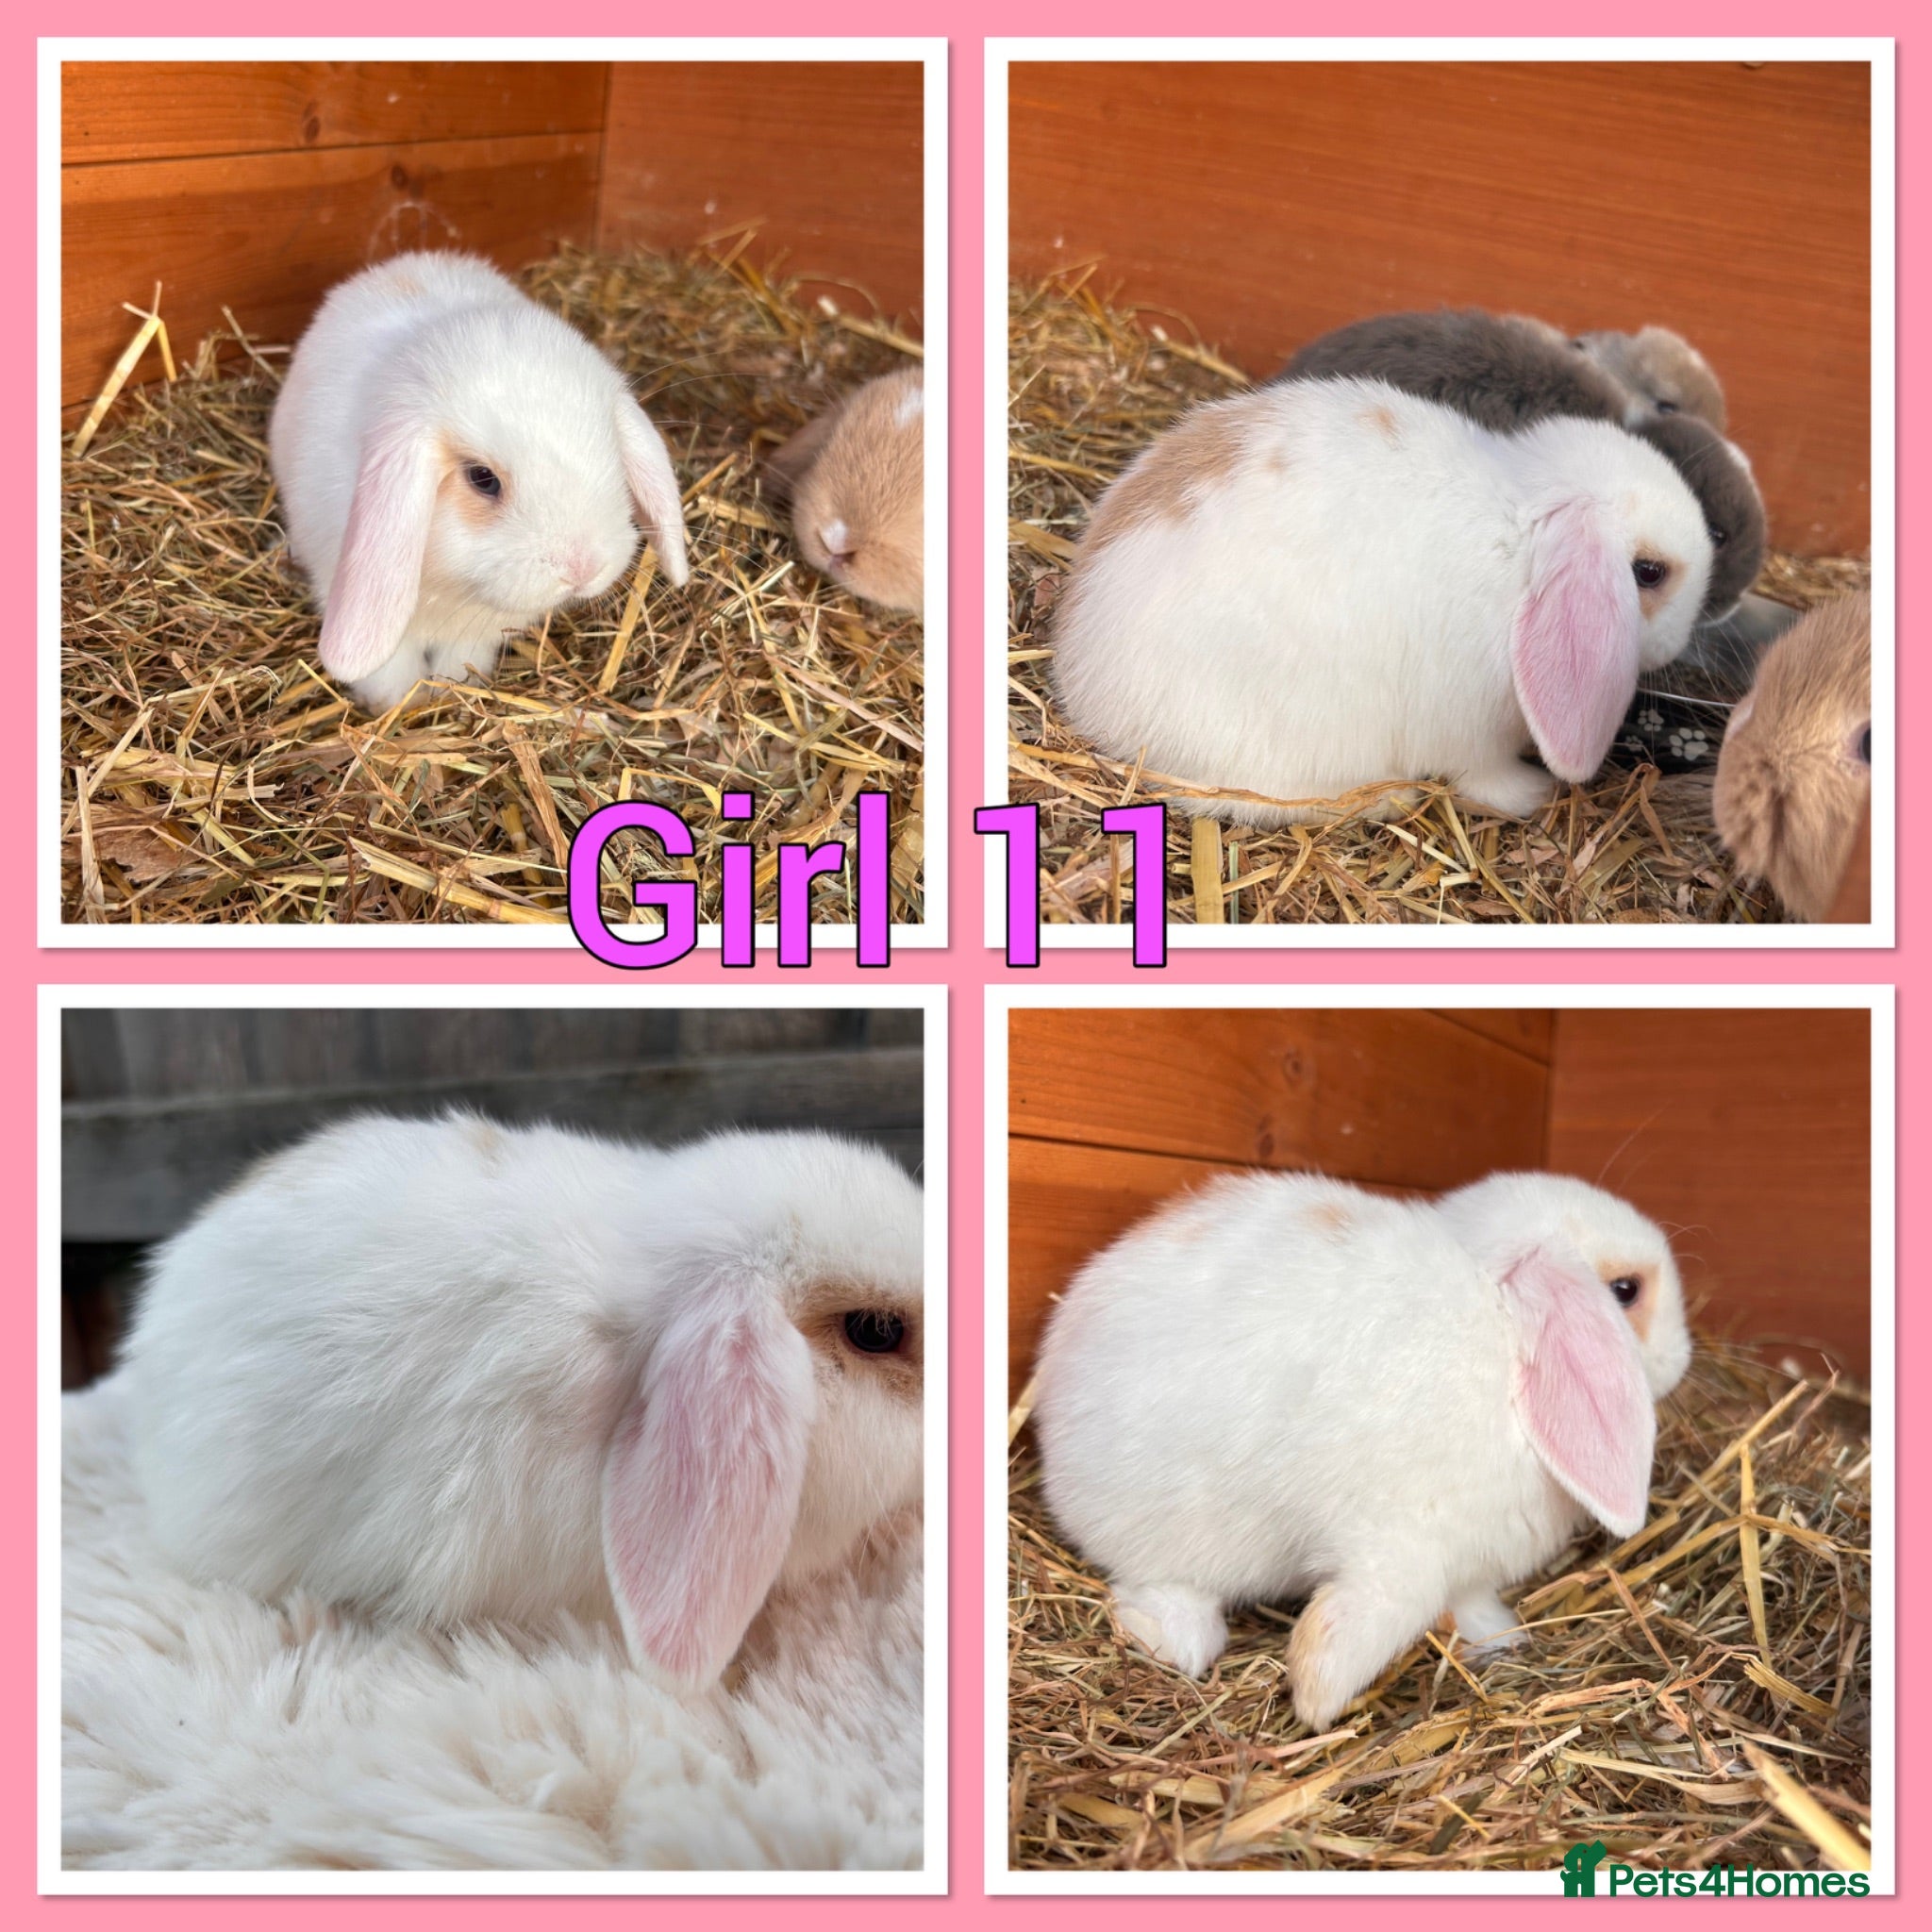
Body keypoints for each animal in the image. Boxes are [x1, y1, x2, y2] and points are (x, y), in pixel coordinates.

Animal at [269, 252, 690, 713]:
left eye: (611, 446)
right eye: (482, 478)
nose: (583, 568)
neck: (450, 588)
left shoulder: (479, 632)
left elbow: (461, 661)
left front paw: (451, 690)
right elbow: (389, 672)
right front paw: (401, 705)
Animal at [1033, 1170, 1690, 1732]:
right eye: (1625, 1291)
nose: (1683, 1356)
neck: (1501, 1334)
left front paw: (1497, 1639)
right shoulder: (1409, 1535)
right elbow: (1372, 1611)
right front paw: (1318, 1695)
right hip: (1168, 1533)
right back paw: (1175, 1636)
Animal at [1049, 377, 1714, 826]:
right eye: (1649, 573)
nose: (1684, 639)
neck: (1520, 542)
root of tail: (1087, 692)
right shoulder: (1473, 733)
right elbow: (1485, 776)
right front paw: (1533, 794)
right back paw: (1393, 797)